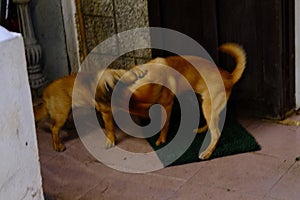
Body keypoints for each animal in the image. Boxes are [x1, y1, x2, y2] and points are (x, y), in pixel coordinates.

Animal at [96, 43, 246, 160]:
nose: (99, 105)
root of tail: (229, 77)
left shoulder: (166, 105)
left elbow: (164, 124)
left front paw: (162, 139)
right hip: (205, 104)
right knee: (213, 124)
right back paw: (201, 130)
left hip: (208, 106)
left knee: (216, 133)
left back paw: (207, 152)